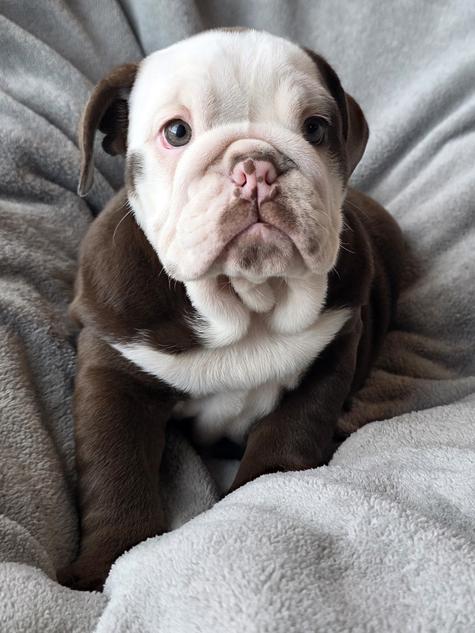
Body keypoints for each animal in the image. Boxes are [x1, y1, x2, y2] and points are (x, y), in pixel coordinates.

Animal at [58, 28, 405, 591]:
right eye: (176, 132)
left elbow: (289, 438)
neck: (247, 302)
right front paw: (105, 563)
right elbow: (116, 469)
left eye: (316, 128)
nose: (256, 166)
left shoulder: (331, 354)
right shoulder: (114, 371)